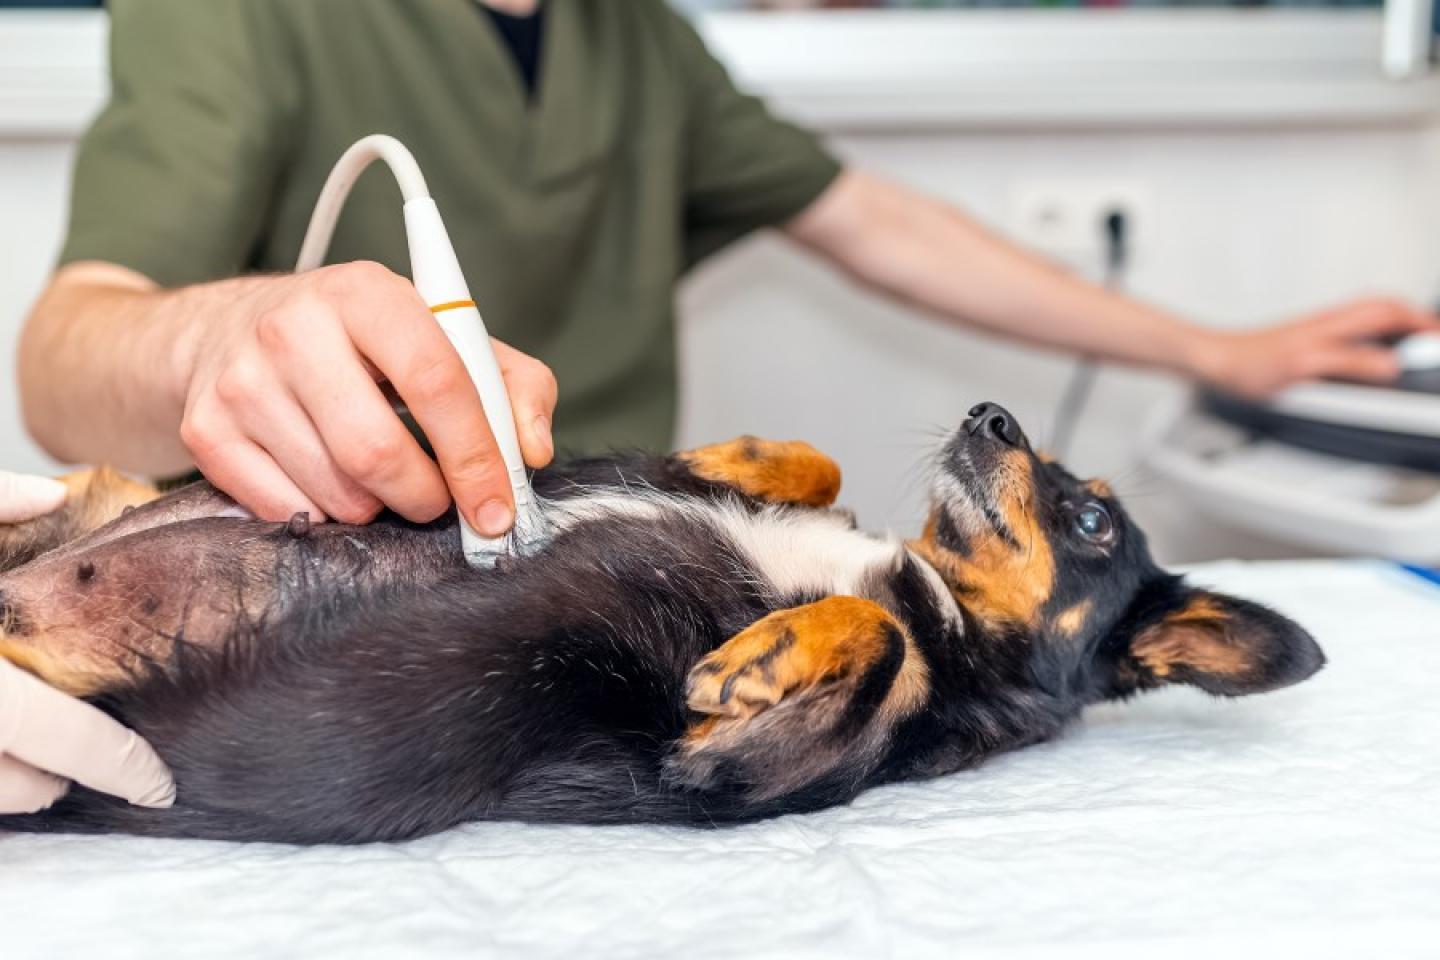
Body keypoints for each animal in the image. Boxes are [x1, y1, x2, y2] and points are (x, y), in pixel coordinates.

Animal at [0, 402, 1319, 846]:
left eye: (1091, 516)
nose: (990, 413)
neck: (939, 593)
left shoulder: (715, 774)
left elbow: (879, 643)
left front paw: (758, 657)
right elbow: (812, 464)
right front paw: (737, 457)